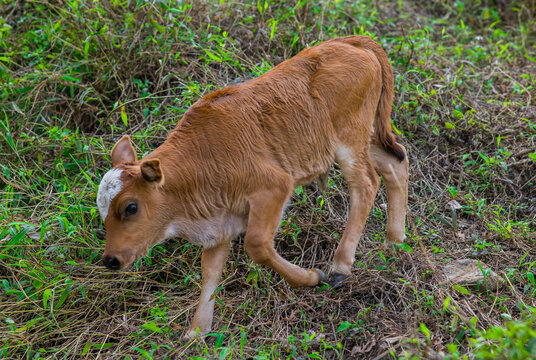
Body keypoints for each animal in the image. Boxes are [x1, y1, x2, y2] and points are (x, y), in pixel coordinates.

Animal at [97, 35, 406, 338]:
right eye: (103, 213)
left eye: (131, 207)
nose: (110, 260)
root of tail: (352, 41)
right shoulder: (219, 223)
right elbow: (210, 273)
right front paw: (196, 332)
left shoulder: (274, 188)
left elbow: (256, 245)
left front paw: (310, 277)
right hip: (367, 137)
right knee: (396, 163)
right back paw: (395, 241)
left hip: (349, 139)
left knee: (366, 185)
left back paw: (341, 265)